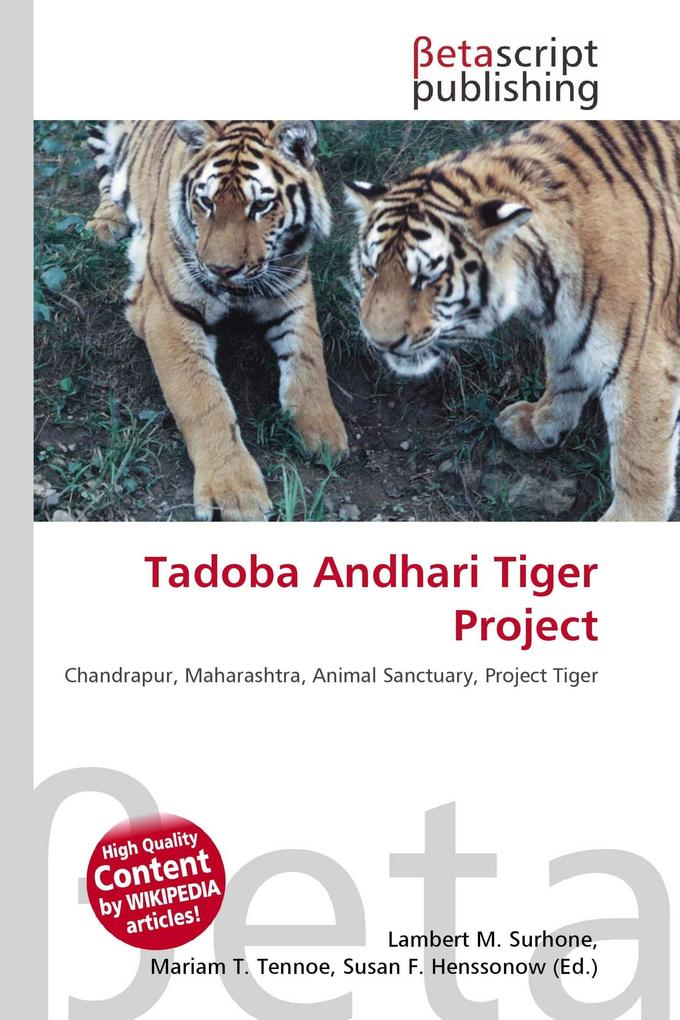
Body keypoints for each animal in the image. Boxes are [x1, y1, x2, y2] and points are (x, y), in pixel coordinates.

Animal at [86, 120, 348, 521]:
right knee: (106, 178)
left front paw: (324, 432)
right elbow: (202, 399)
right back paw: (105, 223)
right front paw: (235, 493)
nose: (221, 270)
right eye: (205, 202)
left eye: (261, 205)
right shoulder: (168, 311)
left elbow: (309, 359)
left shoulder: (294, 288)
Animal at [345, 121, 680, 522]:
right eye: (371, 269)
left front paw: (630, 520)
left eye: (426, 279)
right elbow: (564, 370)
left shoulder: (643, 364)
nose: (380, 342)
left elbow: (639, 456)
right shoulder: (570, 325)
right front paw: (539, 423)